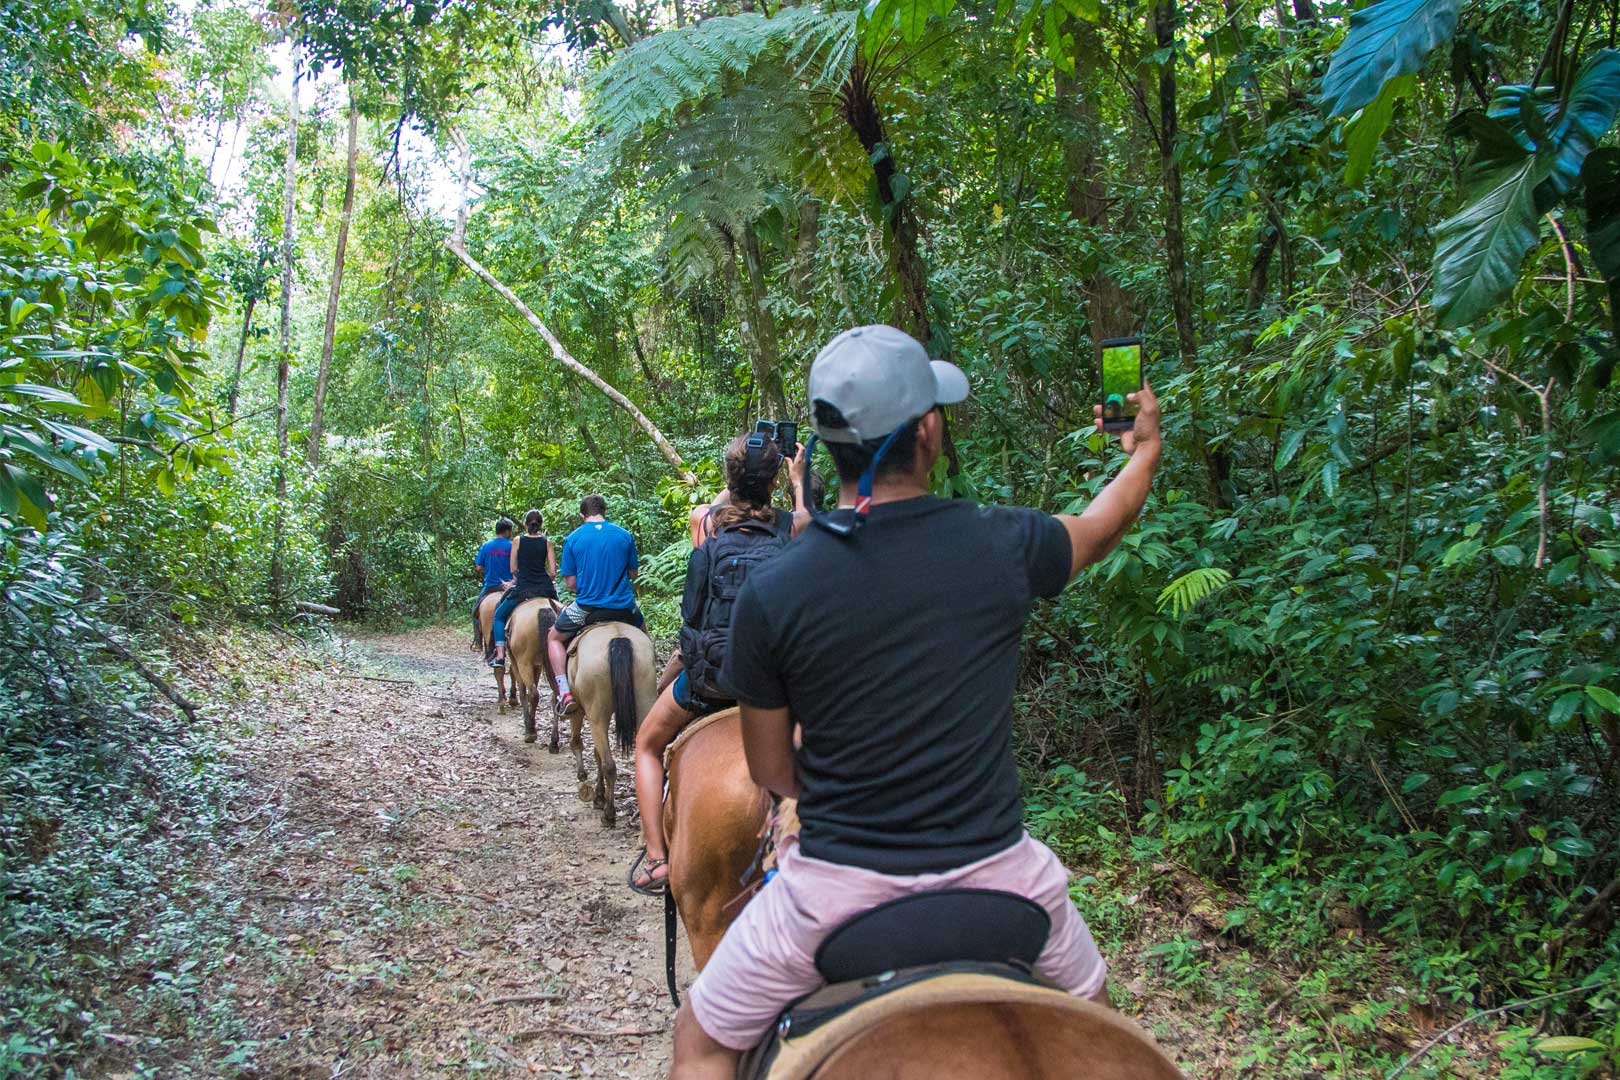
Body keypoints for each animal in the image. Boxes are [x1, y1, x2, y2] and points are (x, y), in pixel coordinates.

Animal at [508, 595, 567, 748]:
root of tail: (544, 608)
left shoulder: (518, 664)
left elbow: (523, 693)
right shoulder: (538, 665)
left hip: (524, 663)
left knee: (534, 694)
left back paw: (530, 732)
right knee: (556, 697)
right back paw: (554, 742)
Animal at [563, 621, 651, 835]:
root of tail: (618, 639)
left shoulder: (580, 709)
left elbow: (579, 743)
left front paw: (593, 791)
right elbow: (597, 754)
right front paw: (599, 795)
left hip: (596, 715)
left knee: (609, 764)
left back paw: (609, 815)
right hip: (644, 700)